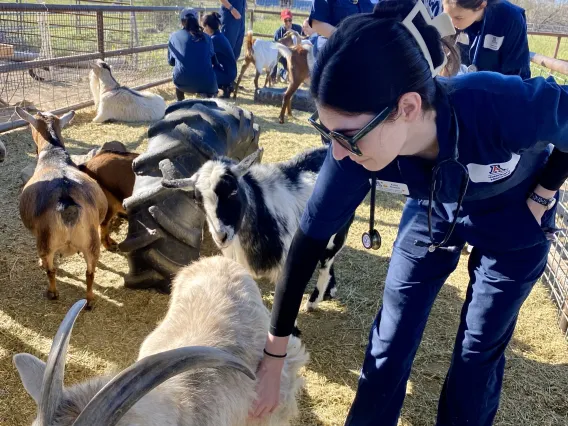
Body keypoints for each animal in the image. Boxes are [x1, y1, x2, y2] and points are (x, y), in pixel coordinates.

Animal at [162, 146, 352, 310]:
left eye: (233, 191)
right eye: (197, 199)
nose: (221, 236)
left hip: (339, 231)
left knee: (327, 262)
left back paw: (314, 301)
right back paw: (329, 290)